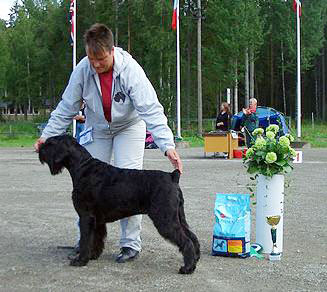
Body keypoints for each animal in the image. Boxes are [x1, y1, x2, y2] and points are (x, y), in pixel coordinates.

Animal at [39, 135, 201, 274]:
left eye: (50, 143)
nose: (39, 149)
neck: (83, 167)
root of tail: (172, 176)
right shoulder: (98, 220)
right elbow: (96, 239)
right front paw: (93, 255)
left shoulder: (86, 216)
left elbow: (85, 239)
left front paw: (81, 260)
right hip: (178, 216)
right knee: (192, 237)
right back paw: (195, 260)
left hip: (165, 219)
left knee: (186, 241)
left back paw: (187, 268)